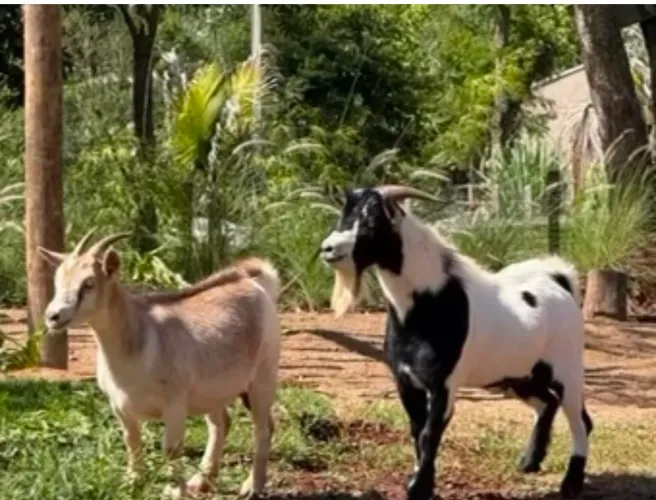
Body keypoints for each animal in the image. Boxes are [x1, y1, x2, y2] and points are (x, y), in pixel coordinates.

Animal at [37, 231, 281, 498]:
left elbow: (171, 449)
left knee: (262, 428)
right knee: (221, 423)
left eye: (88, 284)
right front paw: (133, 482)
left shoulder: (174, 403)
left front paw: (176, 491)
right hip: (212, 391)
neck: (138, 340)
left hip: (263, 376)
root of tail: (253, 282)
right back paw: (202, 481)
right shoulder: (119, 406)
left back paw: (252, 486)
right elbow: (132, 441)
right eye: (57, 281)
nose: (53, 316)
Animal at [320, 185, 592, 500]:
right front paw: (420, 482)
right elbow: (417, 428)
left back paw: (570, 484)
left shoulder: (444, 383)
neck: (428, 304)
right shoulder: (405, 380)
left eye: (373, 220)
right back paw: (529, 462)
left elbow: (431, 432)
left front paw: (419, 487)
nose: (328, 248)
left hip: (567, 370)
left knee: (580, 420)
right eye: (345, 213)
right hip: (521, 375)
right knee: (547, 402)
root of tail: (561, 283)